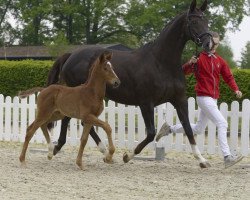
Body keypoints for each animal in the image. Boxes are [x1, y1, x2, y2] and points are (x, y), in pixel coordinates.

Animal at [47, 0, 212, 168]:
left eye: (206, 21)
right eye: (194, 21)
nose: (208, 44)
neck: (161, 63)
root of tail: (70, 55)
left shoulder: (179, 100)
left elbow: (188, 128)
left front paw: (202, 160)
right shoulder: (146, 103)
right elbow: (151, 133)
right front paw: (127, 156)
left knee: (82, 121)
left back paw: (102, 152)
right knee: (71, 119)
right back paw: (65, 149)